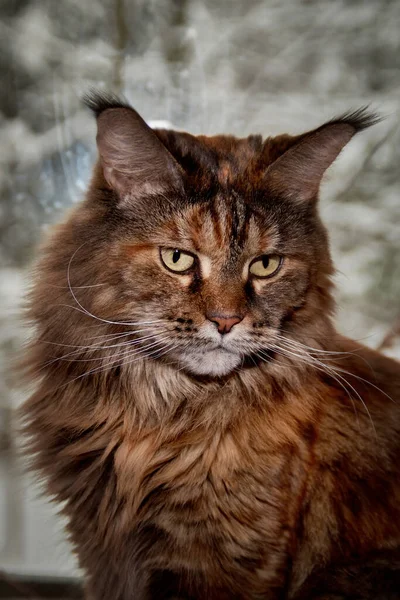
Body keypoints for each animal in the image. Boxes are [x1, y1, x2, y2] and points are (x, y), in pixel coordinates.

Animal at [21, 90, 400, 600]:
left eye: (265, 265)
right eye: (177, 259)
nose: (226, 320)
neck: (159, 418)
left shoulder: (222, 561)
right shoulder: (103, 554)